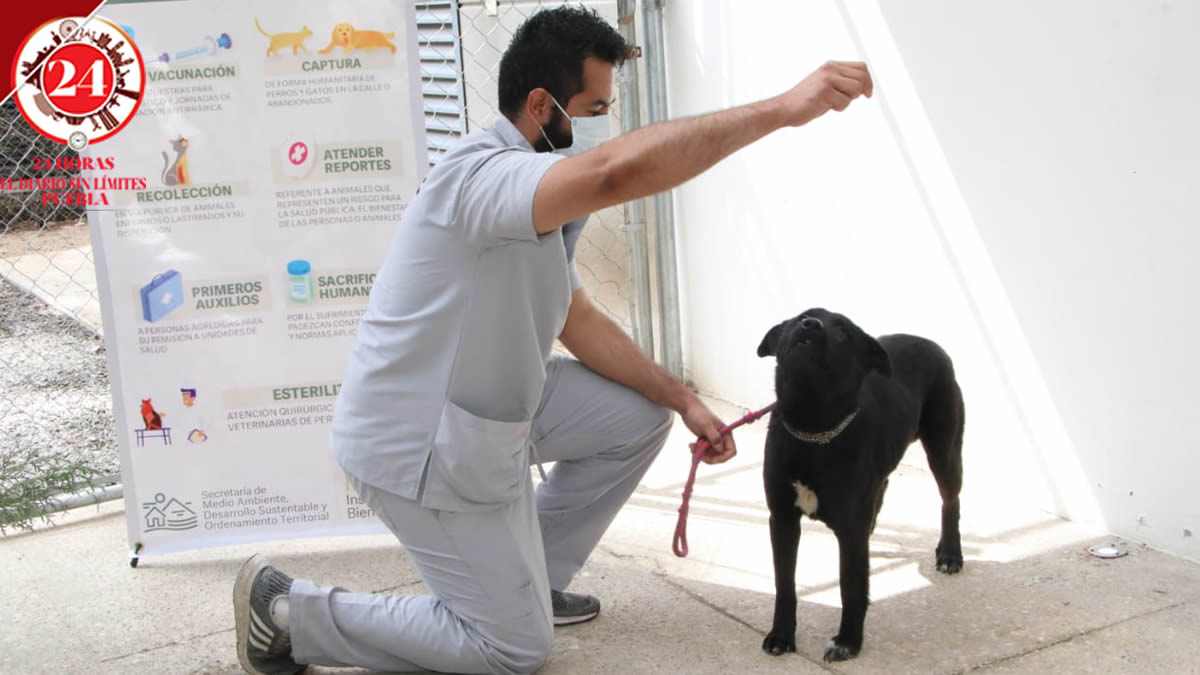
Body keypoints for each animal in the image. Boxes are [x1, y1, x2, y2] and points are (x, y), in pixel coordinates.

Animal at [758, 307, 964, 658]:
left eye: (843, 331)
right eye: (802, 315)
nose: (810, 325)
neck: (813, 433)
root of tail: (930, 343)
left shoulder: (850, 529)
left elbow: (851, 588)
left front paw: (847, 642)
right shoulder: (782, 519)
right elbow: (784, 584)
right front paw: (782, 635)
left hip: (944, 450)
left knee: (950, 500)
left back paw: (950, 553)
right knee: (883, 491)